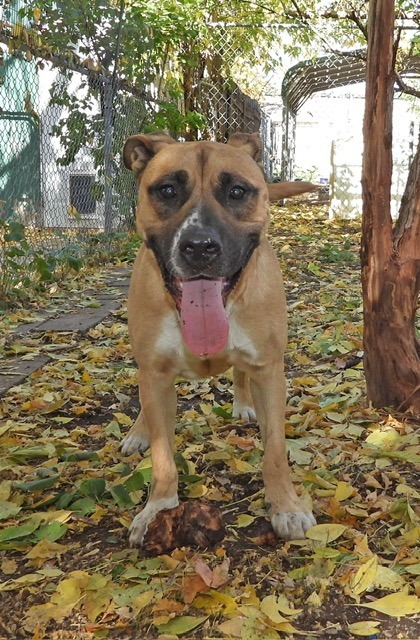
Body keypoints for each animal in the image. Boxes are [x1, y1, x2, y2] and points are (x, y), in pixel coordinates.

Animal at [120, 130, 316, 544]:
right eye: (166, 190)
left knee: (241, 372)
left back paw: (242, 402)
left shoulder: (270, 371)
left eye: (237, 192)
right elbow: (162, 457)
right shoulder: (155, 374)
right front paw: (158, 509)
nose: (198, 247)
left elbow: (275, 452)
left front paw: (286, 507)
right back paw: (139, 431)